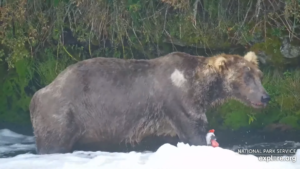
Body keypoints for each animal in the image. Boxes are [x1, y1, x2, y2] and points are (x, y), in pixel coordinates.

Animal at [29, 51, 270, 154]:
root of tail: (39, 92)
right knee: (54, 143)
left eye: (259, 75)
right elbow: (194, 133)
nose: (265, 97)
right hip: (64, 114)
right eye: (245, 76)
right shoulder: (178, 101)